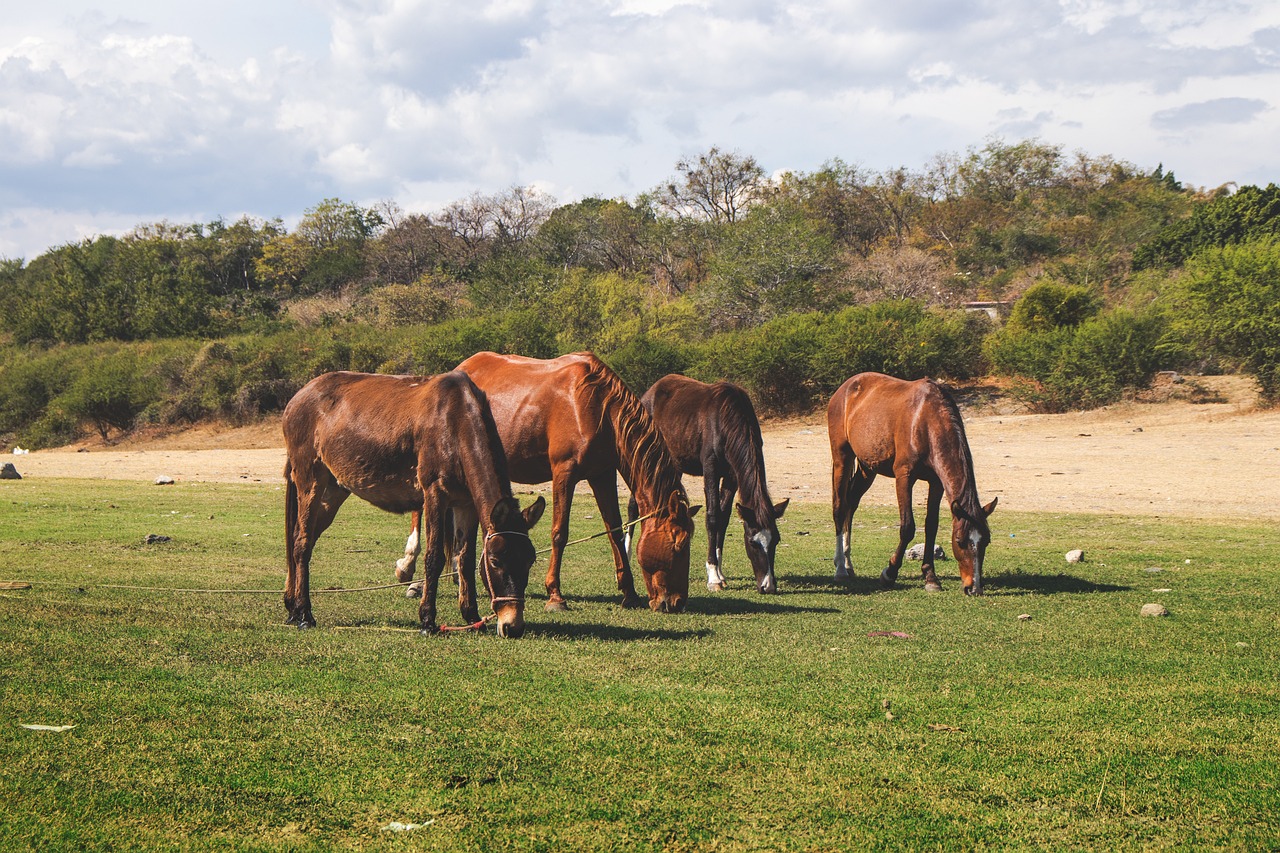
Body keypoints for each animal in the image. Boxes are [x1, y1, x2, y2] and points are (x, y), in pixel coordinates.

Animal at [282, 370, 545, 636]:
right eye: (495, 561)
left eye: (530, 560)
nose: (513, 626)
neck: (456, 423)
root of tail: (300, 395)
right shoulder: (435, 495)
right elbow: (434, 558)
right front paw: (427, 620)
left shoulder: (466, 504)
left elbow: (465, 558)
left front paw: (471, 616)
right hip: (310, 480)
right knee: (302, 543)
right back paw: (304, 613)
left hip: (334, 490)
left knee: (301, 538)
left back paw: (292, 607)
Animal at [397, 352, 698, 613]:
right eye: (680, 544)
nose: (677, 602)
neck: (597, 407)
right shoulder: (565, 472)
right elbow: (559, 533)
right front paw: (555, 595)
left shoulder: (602, 474)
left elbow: (614, 530)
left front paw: (629, 593)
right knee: (420, 509)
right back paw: (410, 572)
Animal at [626, 375, 789, 594]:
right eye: (753, 542)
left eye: (776, 540)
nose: (768, 585)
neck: (726, 420)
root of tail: (648, 395)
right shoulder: (710, 470)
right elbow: (712, 517)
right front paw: (713, 576)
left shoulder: (731, 476)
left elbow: (723, 518)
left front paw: (720, 573)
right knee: (633, 505)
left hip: (673, 464)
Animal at [827, 372, 996, 595]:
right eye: (960, 541)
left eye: (986, 540)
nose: (974, 587)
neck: (925, 421)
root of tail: (845, 388)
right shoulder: (904, 477)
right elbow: (907, 527)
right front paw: (889, 573)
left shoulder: (936, 482)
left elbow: (931, 526)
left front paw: (930, 577)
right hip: (842, 459)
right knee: (839, 507)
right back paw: (840, 568)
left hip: (867, 468)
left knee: (851, 504)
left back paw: (848, 563)